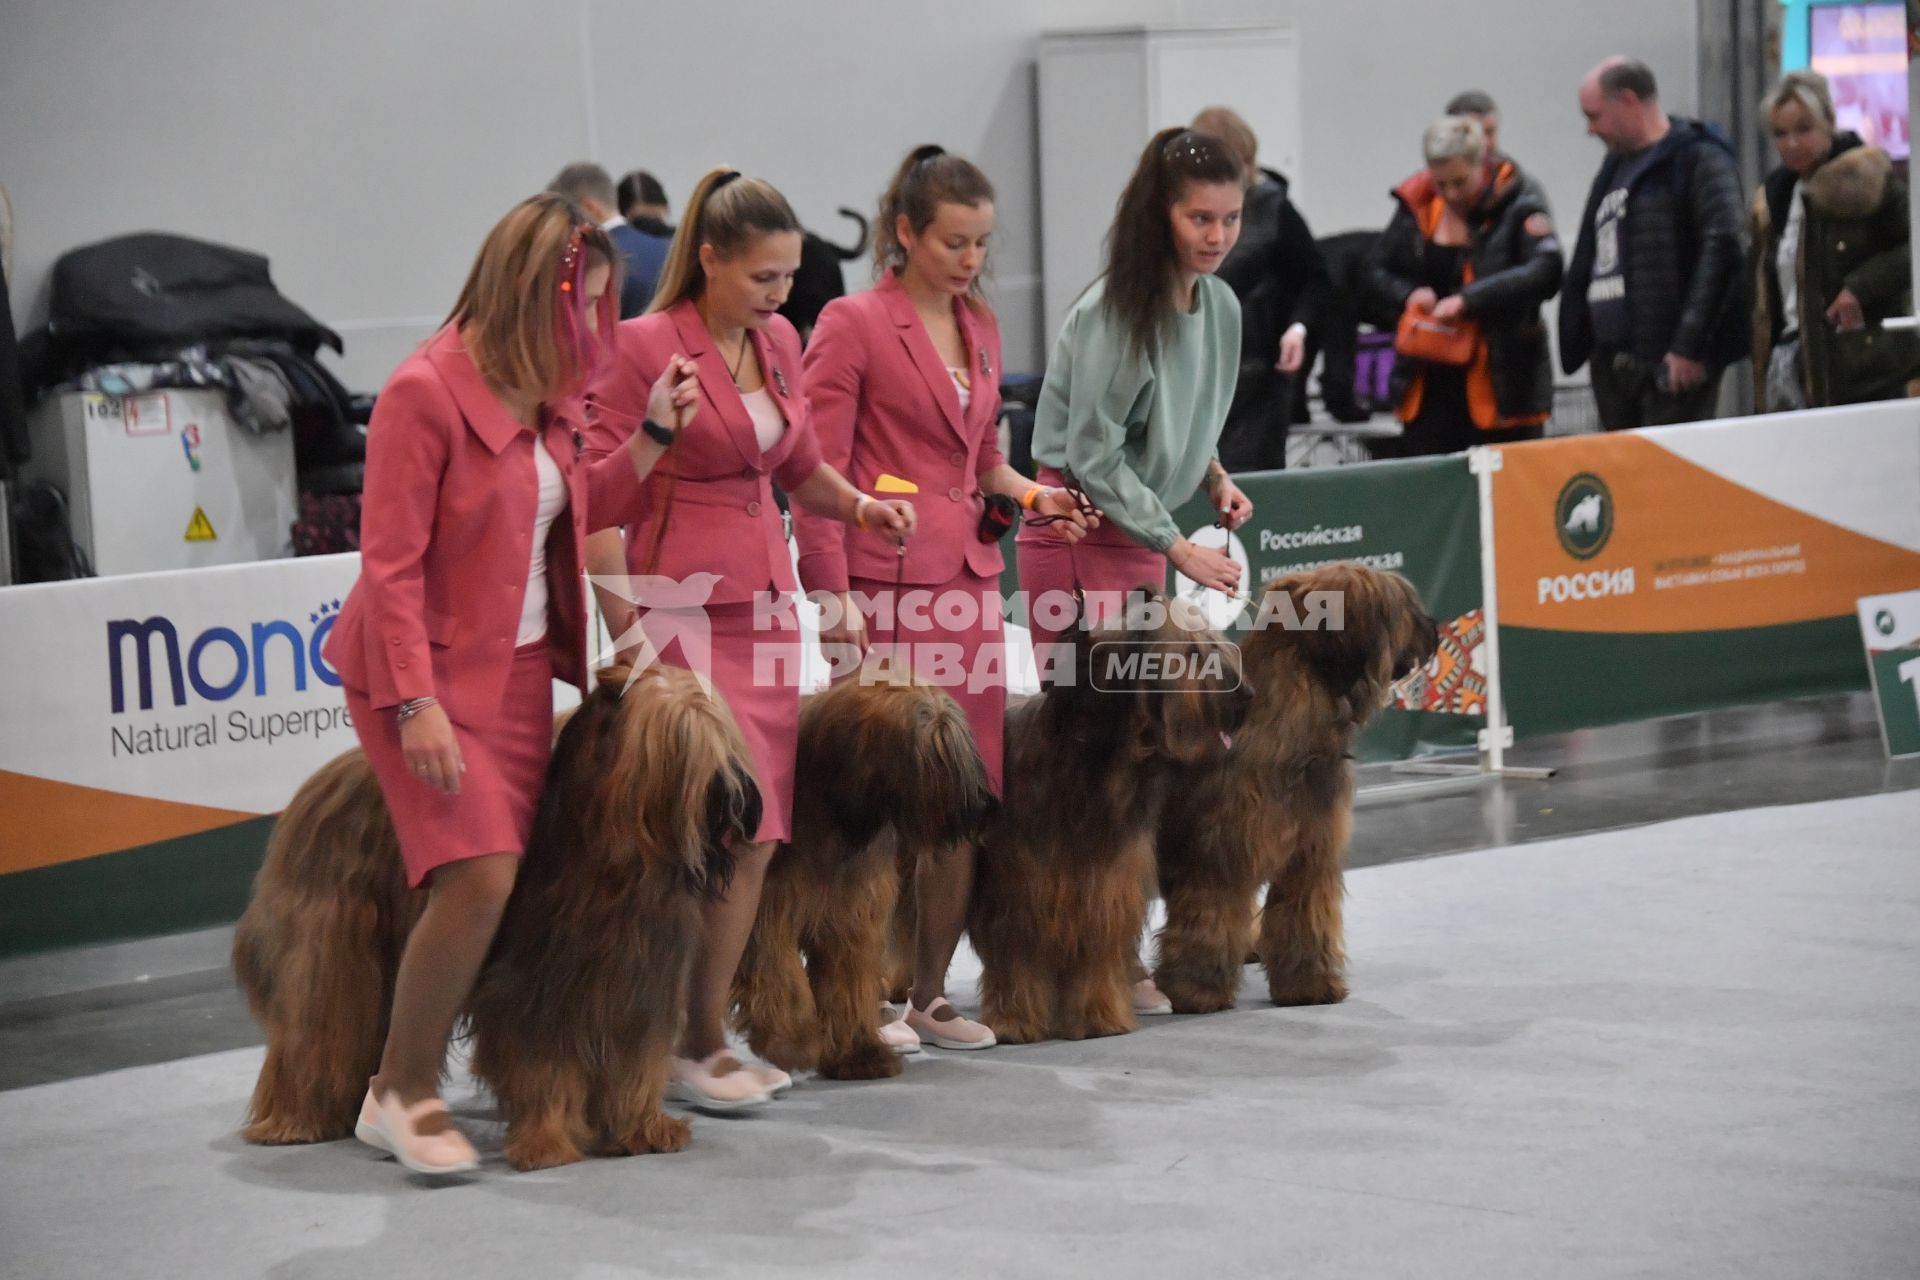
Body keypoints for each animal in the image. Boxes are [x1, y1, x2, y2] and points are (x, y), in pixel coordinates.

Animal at [232, 660, 756, 1174]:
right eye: (684, 735)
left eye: (725, 731)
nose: (745, 798)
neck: (610, 860)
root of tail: (308, 793)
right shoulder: (533, 987)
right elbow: (543, 1064)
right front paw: (547, 1142)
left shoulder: (639, 979)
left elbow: (636, 1059)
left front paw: (641, 1129)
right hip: (333, 955)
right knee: (317, 1032)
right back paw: (297, 1120)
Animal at [733, 671, 998, 1082]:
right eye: (933, 751)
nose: (984, 807)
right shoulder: (767, 907)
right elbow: (778, 974)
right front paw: (793, 1040)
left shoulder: (849, 911)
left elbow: (848, 982)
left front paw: (858, 1054)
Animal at [967, 591, 1251, 1043]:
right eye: (1191, 652)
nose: (1248, 696)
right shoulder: (1017, 886)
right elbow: (1016, 953)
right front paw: (1015, 1021)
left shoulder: (1104, 885)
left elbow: (1096, 952)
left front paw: (1098, 1016)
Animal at [1144, 564, 1436, 1013]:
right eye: (1404, 605)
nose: (1435, 631)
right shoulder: (1220, 856)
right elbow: (1208, 919)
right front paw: (1196, 989)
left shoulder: (1311, 854)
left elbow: (1303, 918)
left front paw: (1308, 984)